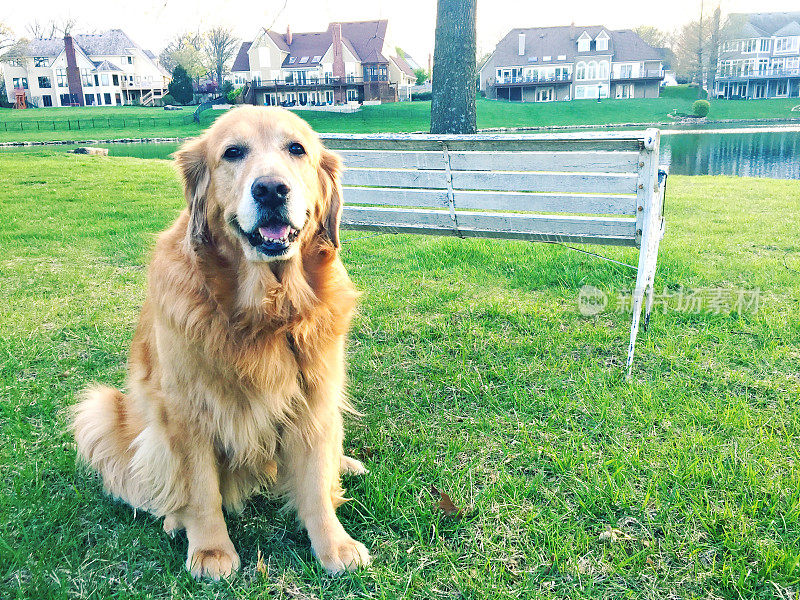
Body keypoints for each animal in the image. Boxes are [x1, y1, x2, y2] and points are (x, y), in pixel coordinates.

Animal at [70, 105, 370, 580]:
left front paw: (334, 544)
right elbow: (201, 489)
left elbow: (316, 485)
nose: (271, 189)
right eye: (232, 152)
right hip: (100, 409)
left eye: (296, 149)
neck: (265, 311)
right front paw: (210, 549)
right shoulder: (186, 410)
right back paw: (175, 519)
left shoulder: (315, 398)